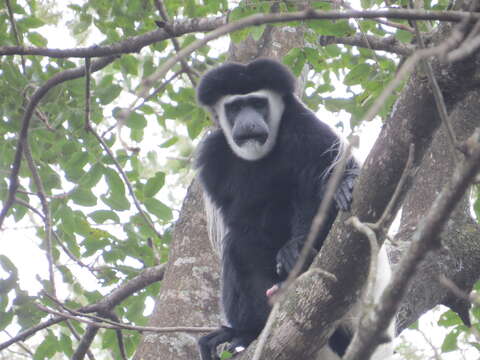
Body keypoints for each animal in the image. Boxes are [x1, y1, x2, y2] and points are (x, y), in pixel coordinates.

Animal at [195, 59, 394, 360]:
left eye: (258, 103)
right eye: (235, 108)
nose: (249, 123)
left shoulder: (307, 129)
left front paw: (297, 247)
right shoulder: (213, 159)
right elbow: (241, 225)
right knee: (240, 245)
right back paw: (245, 333)